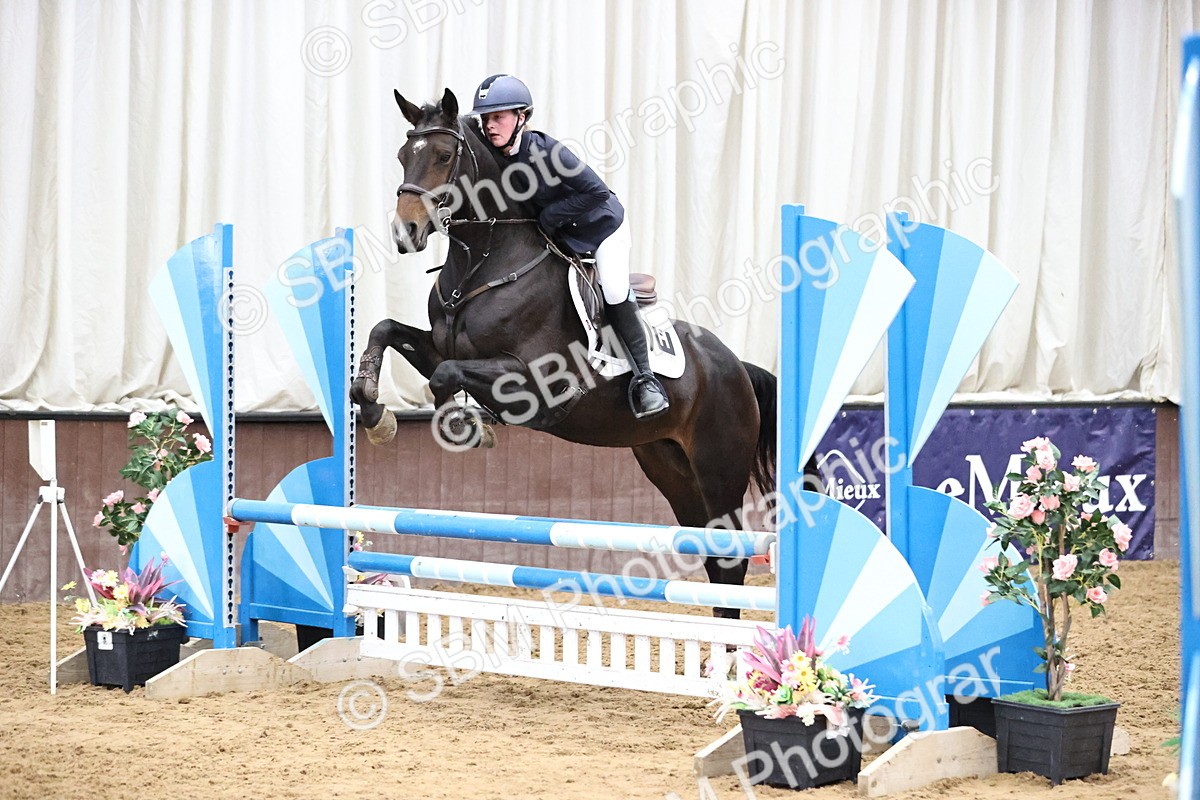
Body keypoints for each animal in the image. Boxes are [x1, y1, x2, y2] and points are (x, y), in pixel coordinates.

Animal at [349, 88, 778, 617]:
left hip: (720, 465)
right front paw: (375, 412)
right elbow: (388, 331)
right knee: (715, 557)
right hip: (669, 465)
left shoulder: (536, 384)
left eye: (445, 156)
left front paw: (464, 425)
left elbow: (445, 375)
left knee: (731, 557)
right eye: (403, 155)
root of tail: (737, 365)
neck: (484, 262)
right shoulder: (437, 345)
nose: (405, 232)